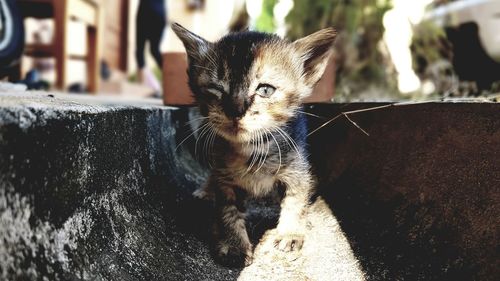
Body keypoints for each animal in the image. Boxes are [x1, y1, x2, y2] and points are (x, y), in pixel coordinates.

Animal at [172, 23, 336, 264]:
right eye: (216, 89)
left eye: (265, 90)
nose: (236, 110)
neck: (253, 148)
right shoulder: (225, 178)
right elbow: (228, 211)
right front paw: (233, 244)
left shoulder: (296, 170)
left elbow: (295, 200)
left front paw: (290, 232)